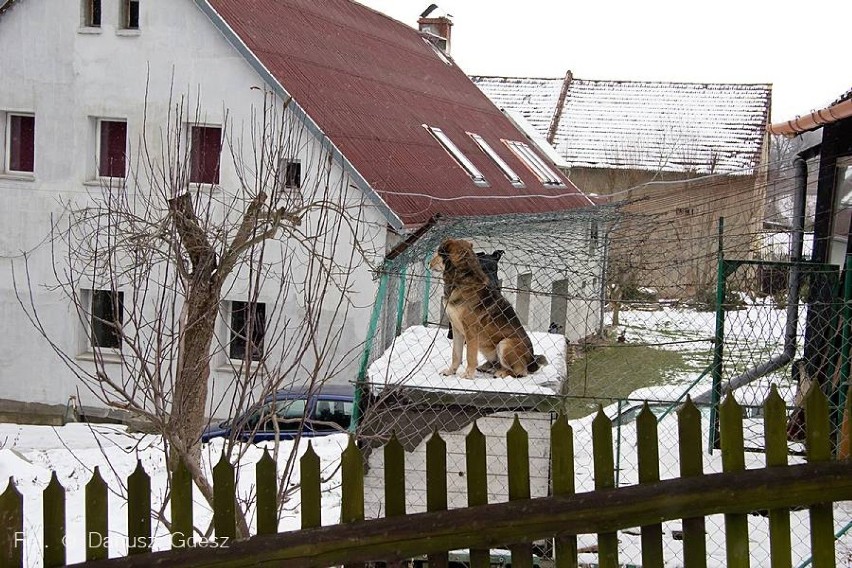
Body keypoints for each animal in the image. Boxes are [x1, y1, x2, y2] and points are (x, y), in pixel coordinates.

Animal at [432, 237, 544, 380]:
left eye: (438, 252)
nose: (429, 262)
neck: (460, 280)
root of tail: (532, 362)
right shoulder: (456, 329)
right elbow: (456, 354)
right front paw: (451, 371)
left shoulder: (471, 330)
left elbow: (470, 355)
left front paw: (468, 374)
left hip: (505, 344)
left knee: (520, 372)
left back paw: (501, 373)